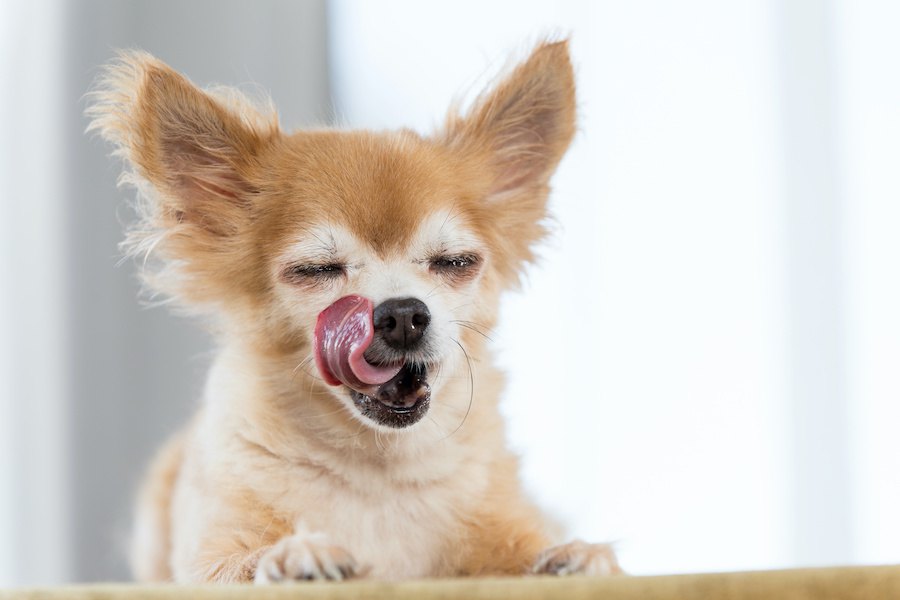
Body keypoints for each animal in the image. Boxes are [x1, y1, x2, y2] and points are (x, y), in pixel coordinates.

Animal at [88, 39, 624, 584]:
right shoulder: (207, 559)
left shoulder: (503, 522)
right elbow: (240, 563)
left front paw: (572, 556)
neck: (378, 469)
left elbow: (523, 551)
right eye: (316, 270)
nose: (404, 313)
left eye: (455, 262)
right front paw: (294, 555)